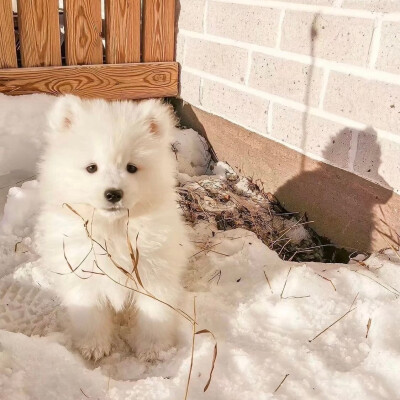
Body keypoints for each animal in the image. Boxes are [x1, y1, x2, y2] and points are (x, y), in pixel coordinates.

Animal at [35, 95, 191, 360]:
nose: (113, 194)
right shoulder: (84, 276)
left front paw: (153, 349)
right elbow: (91, 317)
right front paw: (93, 347)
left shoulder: (154, 274)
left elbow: (155, 314)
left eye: (132, 167)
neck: (113, 229)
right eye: (91, 168)